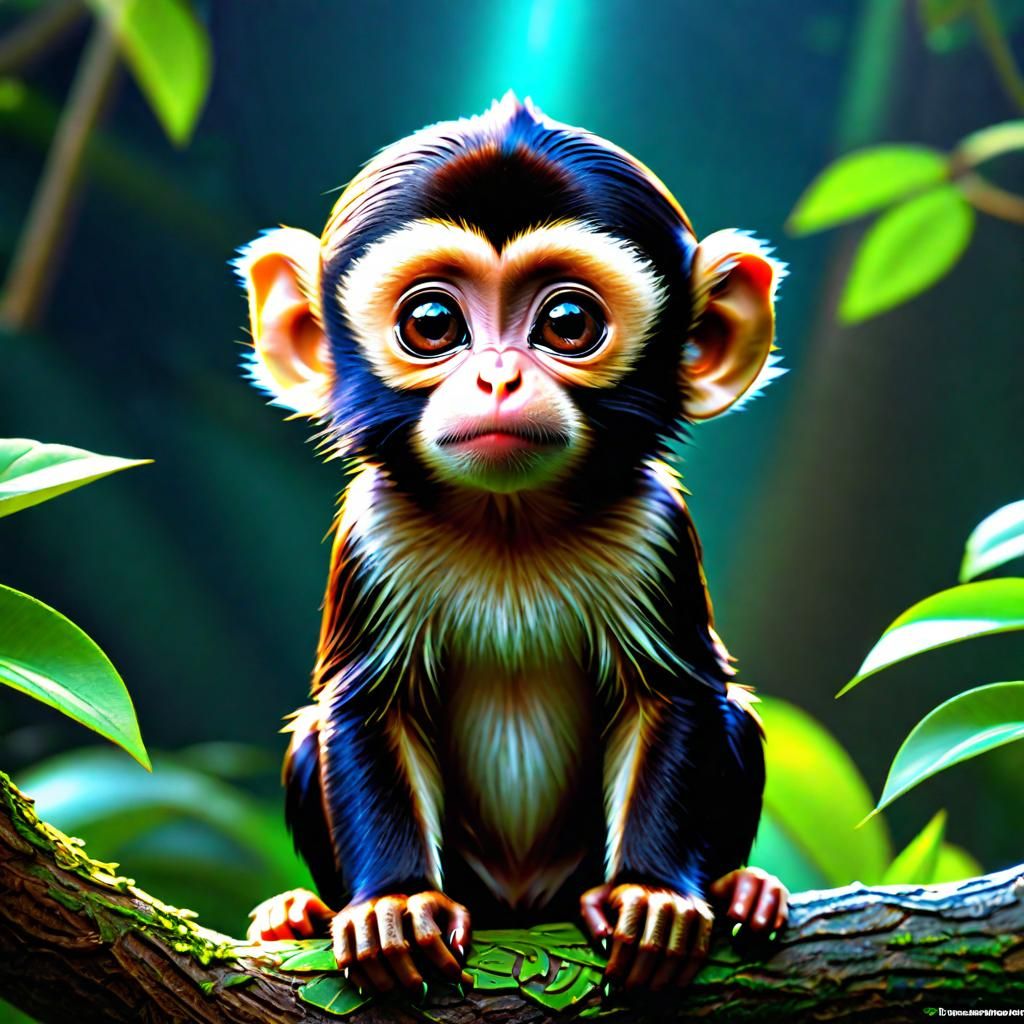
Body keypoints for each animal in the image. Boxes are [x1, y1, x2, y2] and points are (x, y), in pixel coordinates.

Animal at [237, 93, 789, 995]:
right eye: (432, 323)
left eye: (567, 322)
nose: (498, 377)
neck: (510, 525)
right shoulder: (372, 531)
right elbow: (364, 708)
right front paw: (394, 907)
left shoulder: (656, 526)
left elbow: (675, 695)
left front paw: (653, 897)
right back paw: (301, 912)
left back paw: (741, 889)